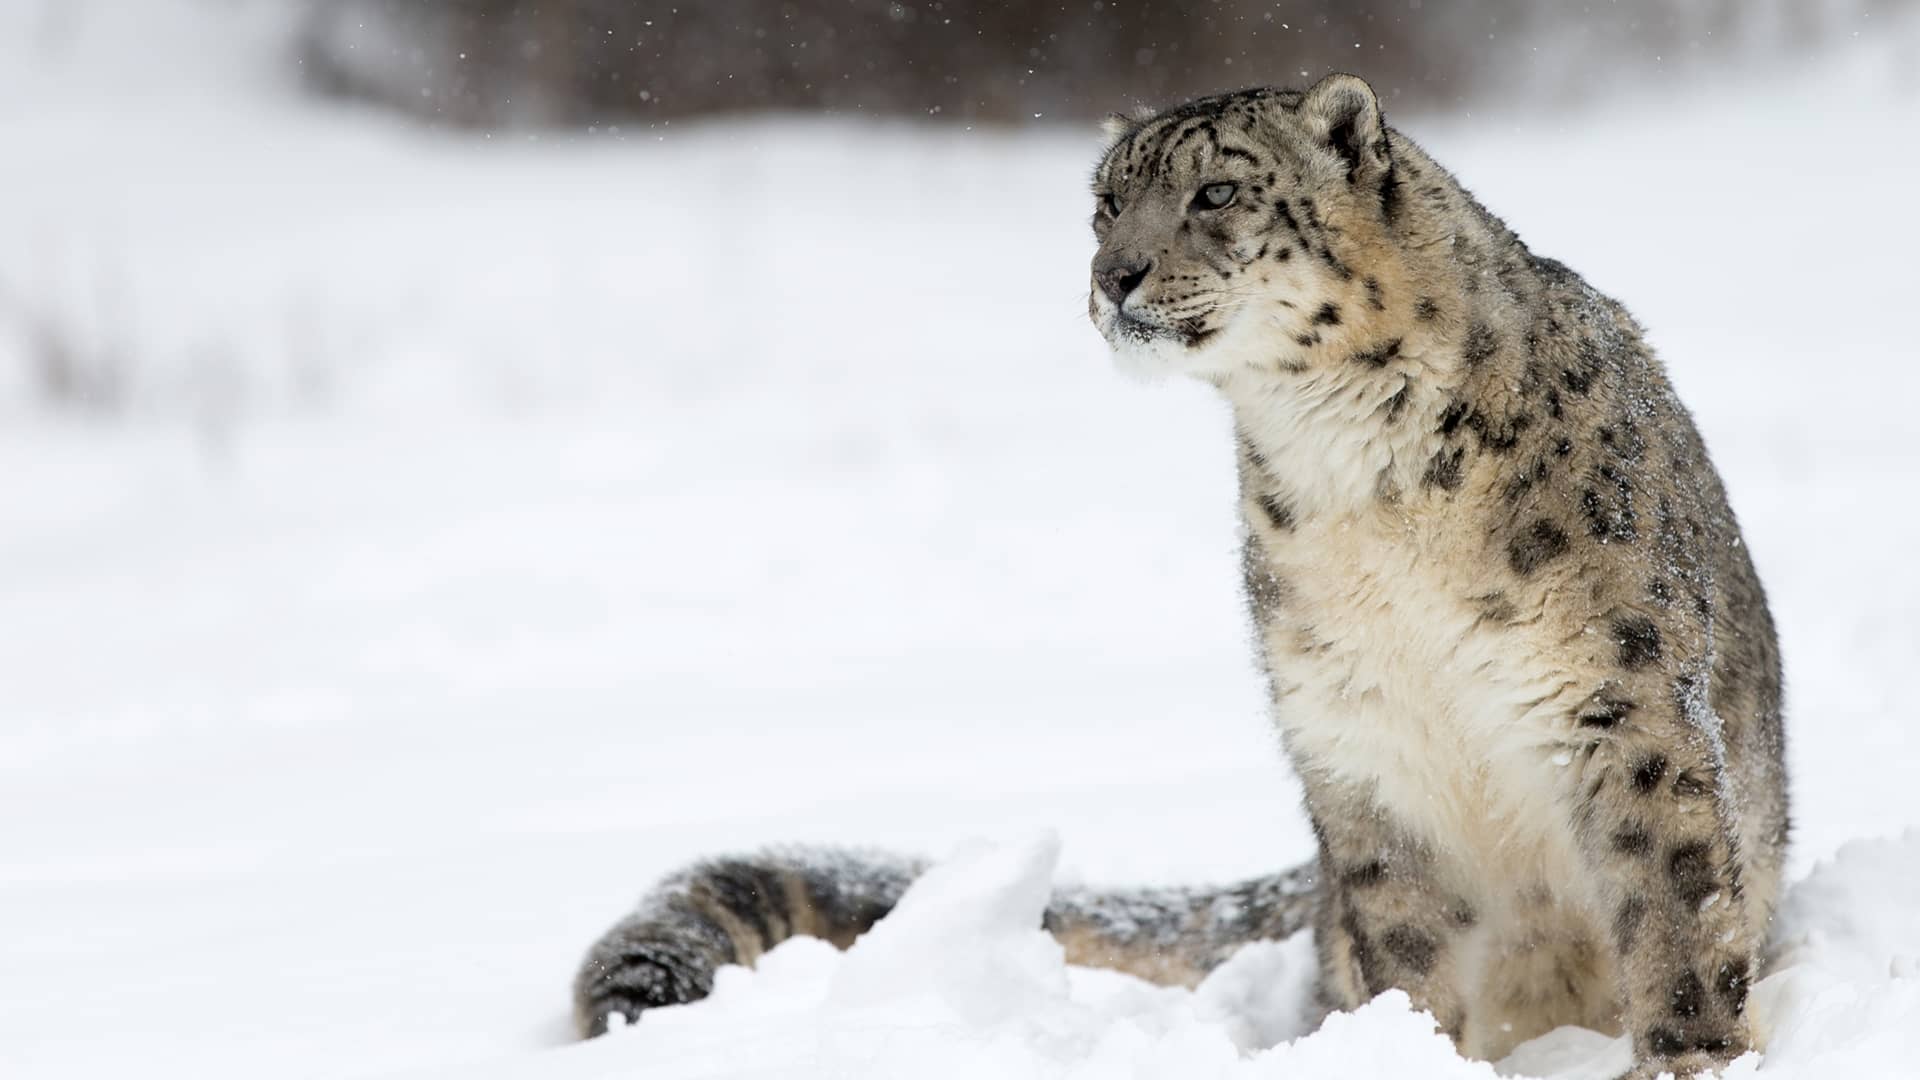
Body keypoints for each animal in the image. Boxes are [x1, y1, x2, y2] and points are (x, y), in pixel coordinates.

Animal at [572, 71, 1781, 1068]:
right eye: (1105, 205)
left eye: (1217, 193)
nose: (1114, 275)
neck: (1358, 477)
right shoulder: (1359, 736)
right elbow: (1408, 944)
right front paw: (1402, 1048)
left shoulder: (1617, 695)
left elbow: (1674, 910)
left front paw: (1688, 1060)